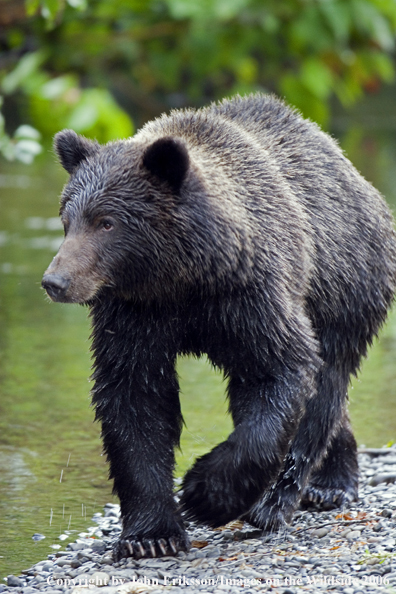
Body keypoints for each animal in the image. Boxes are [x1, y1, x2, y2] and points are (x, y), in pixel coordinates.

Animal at [41, 95, 396, 556]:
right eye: (67, 219)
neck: (183, 278)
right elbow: (134, 398)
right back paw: (332, 478)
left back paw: (284, 499)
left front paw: (204, 493)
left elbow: (278, 371)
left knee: (327, 385)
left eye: (106, 222)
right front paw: (151, 535)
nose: (55, 281)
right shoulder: (133, 316)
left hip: (345, 287)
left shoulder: (250, 295)